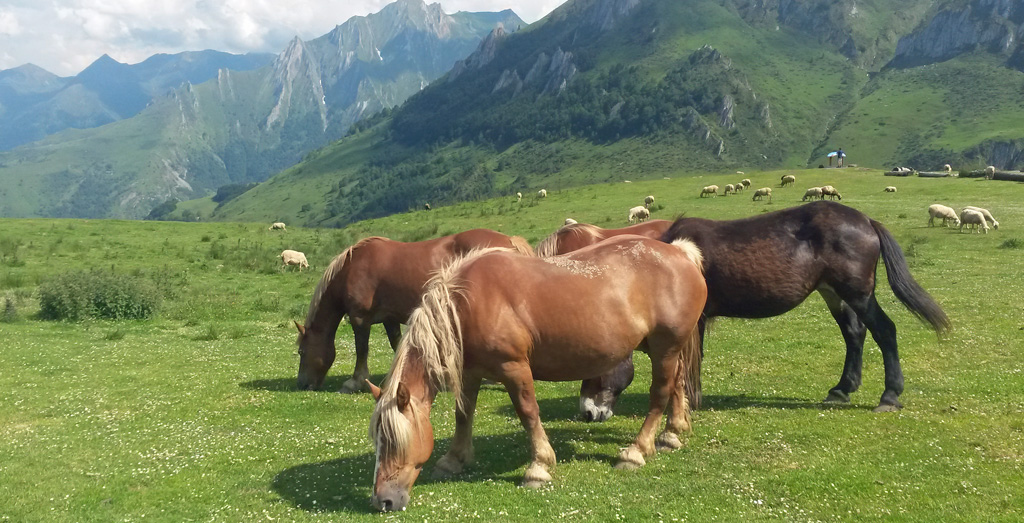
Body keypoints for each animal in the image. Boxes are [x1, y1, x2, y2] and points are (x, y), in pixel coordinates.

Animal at [294, 230, 532, 393]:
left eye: (301, 352)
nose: (301, 384)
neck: (351, 269)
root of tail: (509, 241)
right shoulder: (389, 319)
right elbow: (396, 344)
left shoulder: (359, 318)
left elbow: (362, 349)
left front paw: (355, 382)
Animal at [364, 236, 708, 511]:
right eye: (377, 441)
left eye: (393, 441)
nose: (384, 501)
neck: (466, 305)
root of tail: (680, 252)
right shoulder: (471, 373)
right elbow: (464, 415)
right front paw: (453, 459)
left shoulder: (514, 368)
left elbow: (528, 413)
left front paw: (539, 467)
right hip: (662, 349)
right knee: (677, 383)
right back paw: (672, 433)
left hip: (664, 347)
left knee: (660, 393)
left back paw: (636, 451)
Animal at [581, 200, 954, 417]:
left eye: (596, 367)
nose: (587, 412)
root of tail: (866, 221)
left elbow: (687, 362)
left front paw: (686, 401)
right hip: (833, 293)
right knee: (854, 334)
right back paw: (841, 390)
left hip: (858, 292)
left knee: (884, 330)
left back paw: (889, 396)